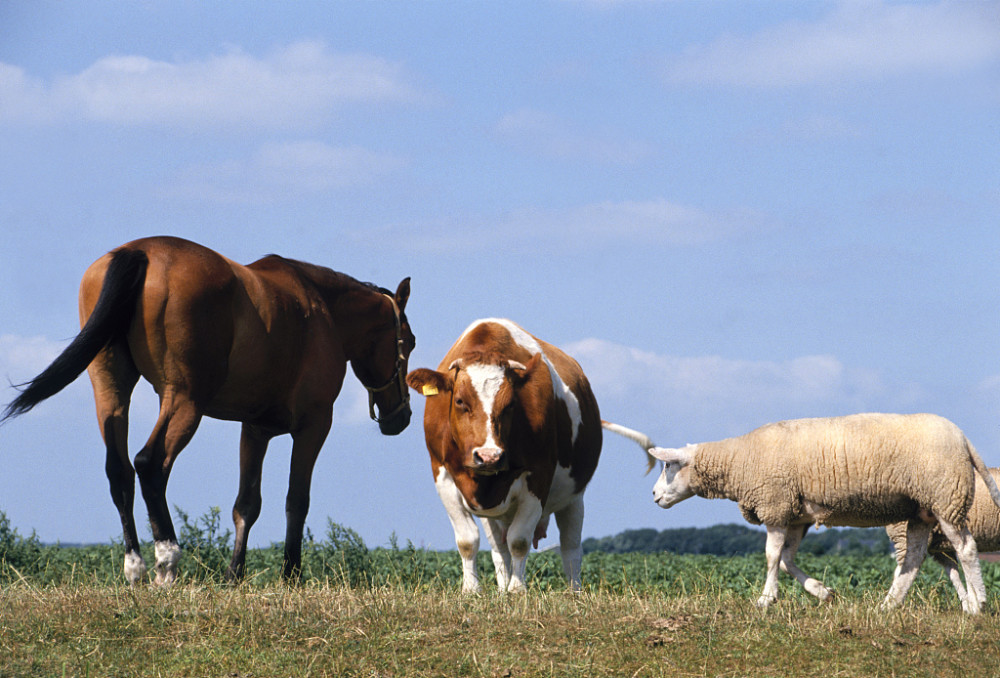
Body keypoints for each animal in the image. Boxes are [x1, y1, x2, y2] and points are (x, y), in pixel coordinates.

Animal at [0, 235, 414, 584]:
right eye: (408, 341)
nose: (402, 417)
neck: (320, 308)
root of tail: (140, 251)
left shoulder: (255, 429)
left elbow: (247, 504)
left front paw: (234, 576)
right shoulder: (314, 425)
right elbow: (296, 501)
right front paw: (291, 576)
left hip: (112, 391)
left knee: (119, 470)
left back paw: (135, 567)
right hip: (185, 400)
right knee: (150, 463)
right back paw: (167, 561)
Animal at [406, 320, 656, 596]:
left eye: (510, 404)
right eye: (460, 401)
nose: (489, 456)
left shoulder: (538, 476)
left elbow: (519, 540)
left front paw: (517, 590)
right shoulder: (443, 474)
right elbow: (468, 540)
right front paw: (472, 590)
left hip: (574, 498)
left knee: (571, 547)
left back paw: (574, 592)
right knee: (498, 548)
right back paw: (501, 589)